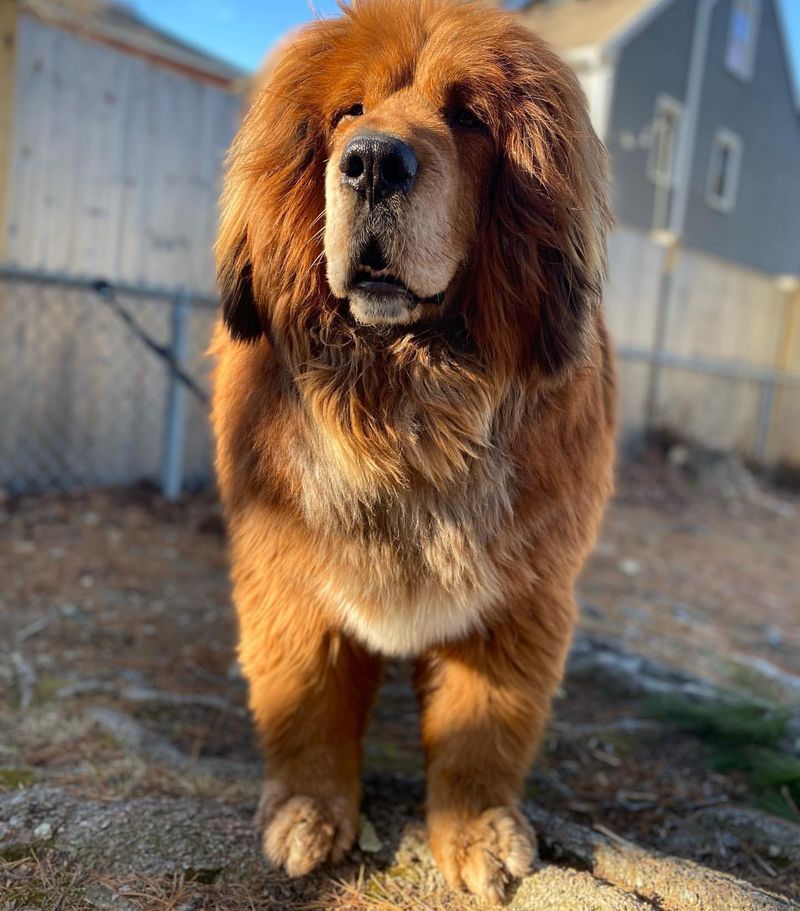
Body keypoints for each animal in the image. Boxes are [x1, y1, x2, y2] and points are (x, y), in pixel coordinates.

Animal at [211, 0, 612, 896]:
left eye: (467, 118)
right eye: (347, 114)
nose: (371, 164)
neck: (403, 403)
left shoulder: (516, 598)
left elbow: (481, 729)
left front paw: (478, 831)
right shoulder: (290, 577)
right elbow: (308, 705)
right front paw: (308, 811)